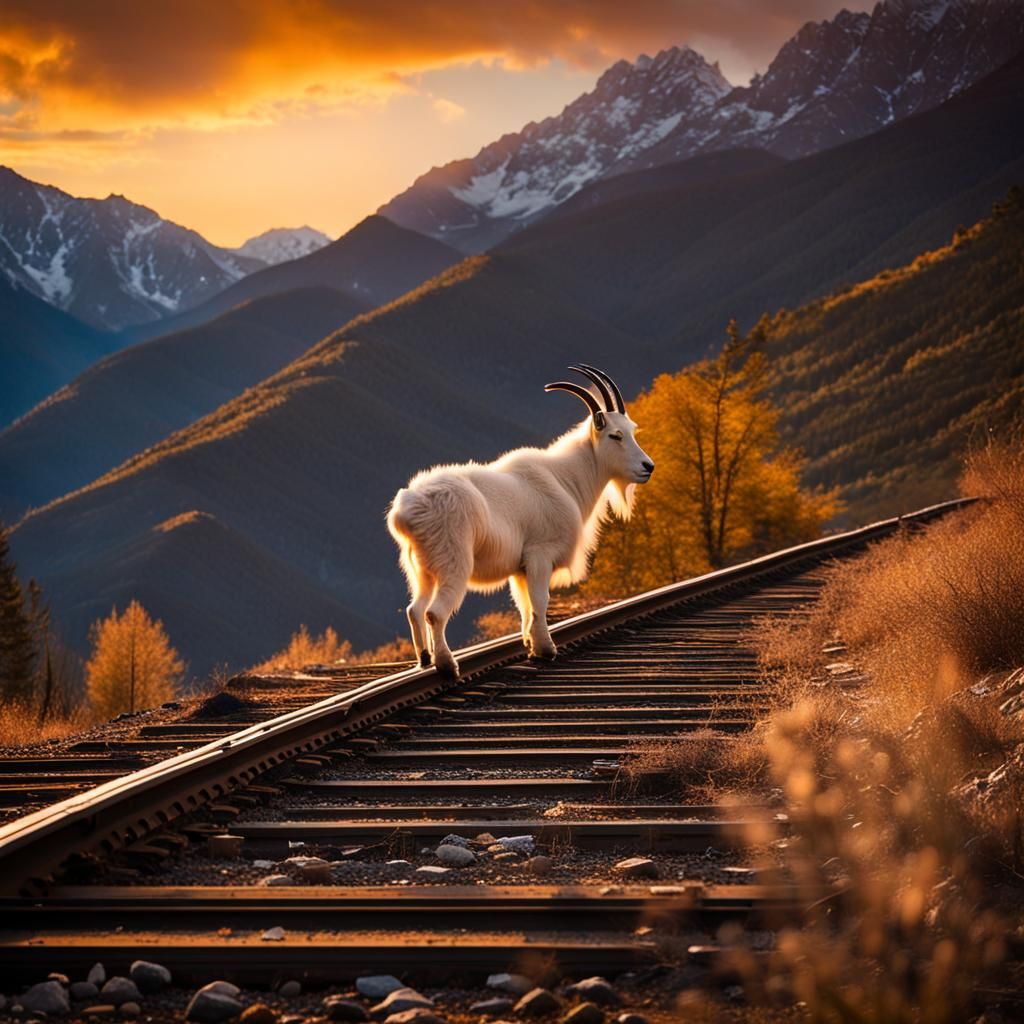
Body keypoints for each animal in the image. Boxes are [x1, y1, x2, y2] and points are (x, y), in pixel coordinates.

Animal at [387, 365, 654, 678]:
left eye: (632, 430)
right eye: (615, 435)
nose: (648, 467)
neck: (567, 478)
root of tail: (406, 510)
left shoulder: (520, 568)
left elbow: (525, 605)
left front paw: (531, 645)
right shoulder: (540, 555)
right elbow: (540, 601)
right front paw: (546, 650)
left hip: (421, 569)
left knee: (415, 609)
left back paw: (426, 659)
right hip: (453, 564)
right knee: (434, 612)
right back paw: (447, 665)